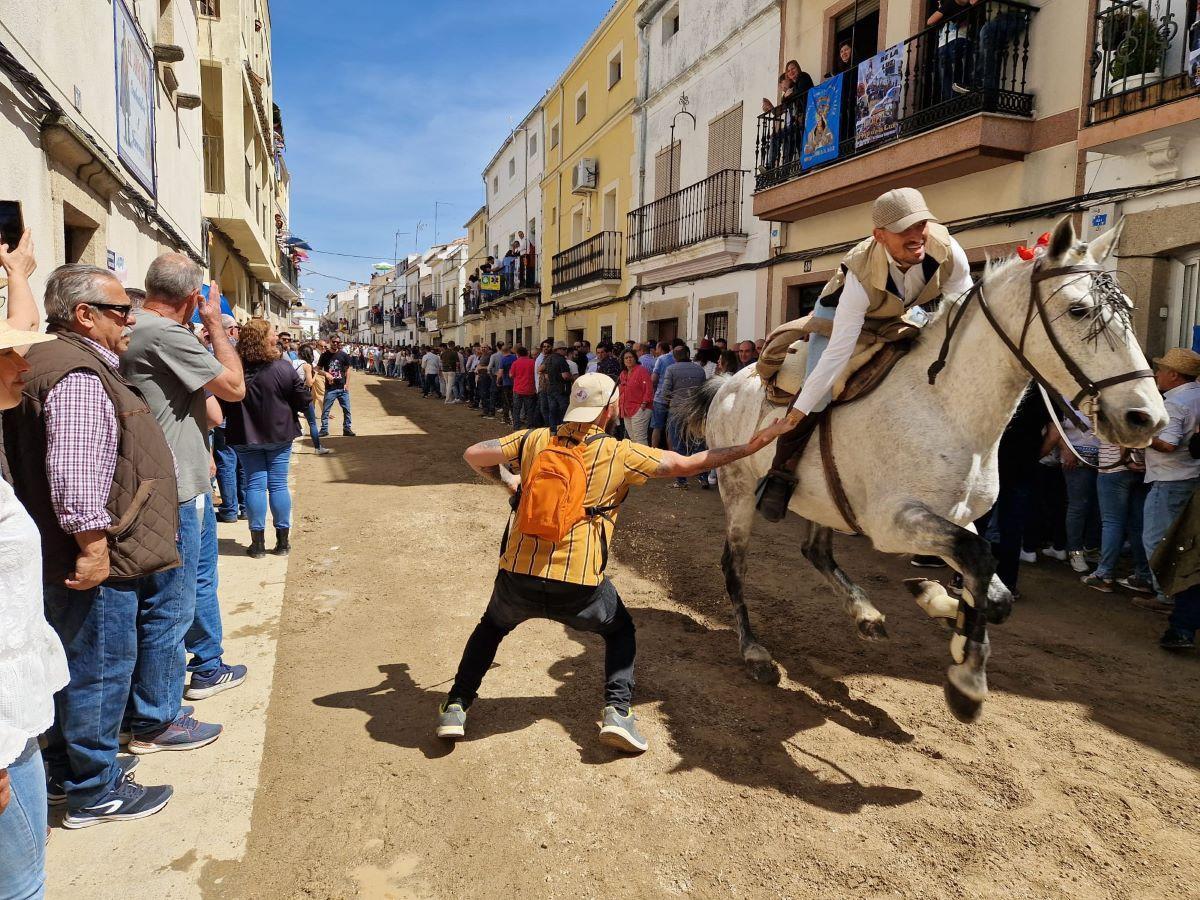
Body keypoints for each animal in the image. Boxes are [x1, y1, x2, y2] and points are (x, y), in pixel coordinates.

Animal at [691, 218, 1166, 724]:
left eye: (1129, 309)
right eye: (1078, 310)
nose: (1146, 418)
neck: (947, 407)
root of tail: (728, 383)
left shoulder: (957, 517)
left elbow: (992, 587)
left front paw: (944, 610)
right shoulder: (894, 523)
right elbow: (979, 560)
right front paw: (966, 680)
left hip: (824, 501)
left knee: (816, 551)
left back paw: (865, 614)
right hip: (738, 490)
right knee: (735, 565)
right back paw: (754, 651)